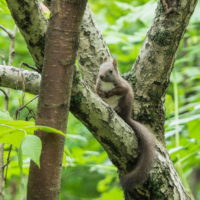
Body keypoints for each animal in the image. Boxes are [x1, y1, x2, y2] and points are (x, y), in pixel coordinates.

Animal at [95, 58, 155, 191]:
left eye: (110, 71)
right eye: (99, 68)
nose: (101, 76)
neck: (107, 84)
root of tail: (127, 116)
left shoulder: (123, 86)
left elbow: (120, 90)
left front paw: (109, 93)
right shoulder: (97, 85)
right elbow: (97, 91)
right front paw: (102, 94)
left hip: (125, 101)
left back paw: (117, 110)